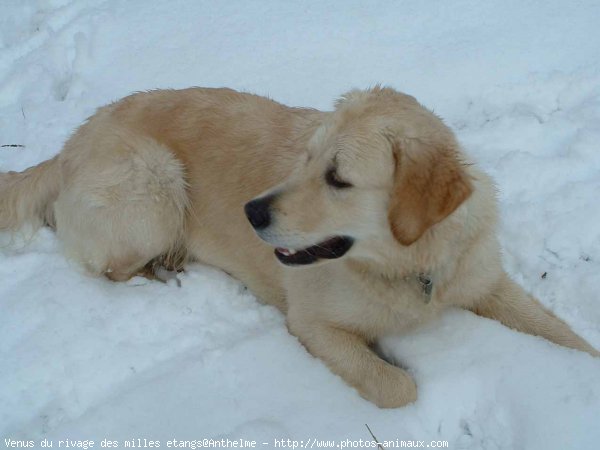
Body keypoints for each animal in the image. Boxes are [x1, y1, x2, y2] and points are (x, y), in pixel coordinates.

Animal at [0, 85, 596, 408]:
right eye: (306, 159)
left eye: (338, 178)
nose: (251, 212)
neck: (412, 263)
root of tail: (66, 146)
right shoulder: (312, 324)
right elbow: (398, 386)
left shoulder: (482, 279)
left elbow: (564, 335)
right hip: (156, 186)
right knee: (109, 269)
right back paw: (166, 273)